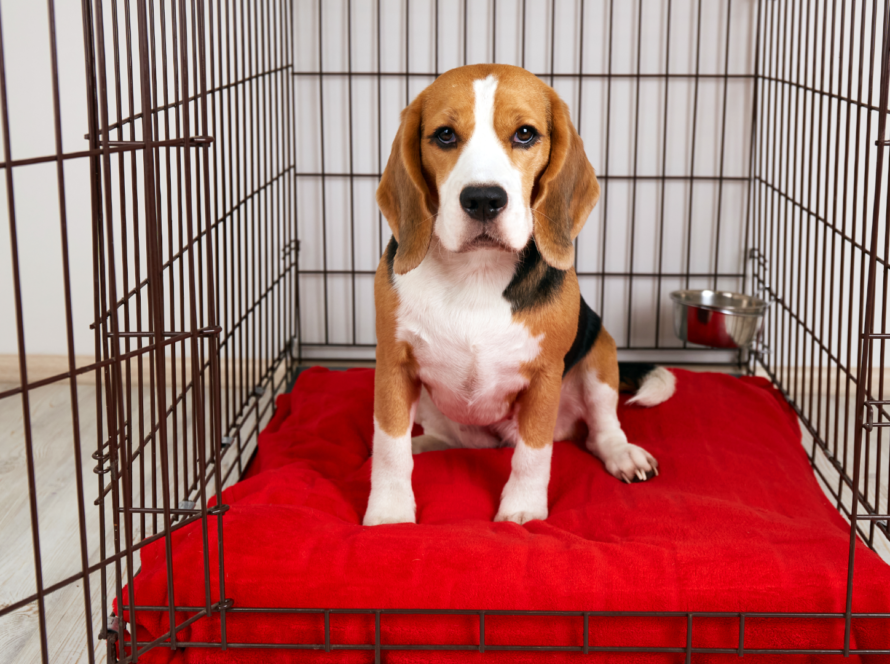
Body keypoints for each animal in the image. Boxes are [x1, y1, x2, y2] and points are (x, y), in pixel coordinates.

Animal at [360, 65, 672, 528]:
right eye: (445, 135)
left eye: (525, 134)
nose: (483, 199)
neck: (477, 270)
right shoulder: (393, 363)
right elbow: (389, 446)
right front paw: (389, 513)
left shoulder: (545, 376)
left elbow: (534, 454)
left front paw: (522, 511)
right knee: (446, 440)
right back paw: (426, 445)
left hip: (600, 351)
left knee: (599, 430)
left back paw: (622, 454)